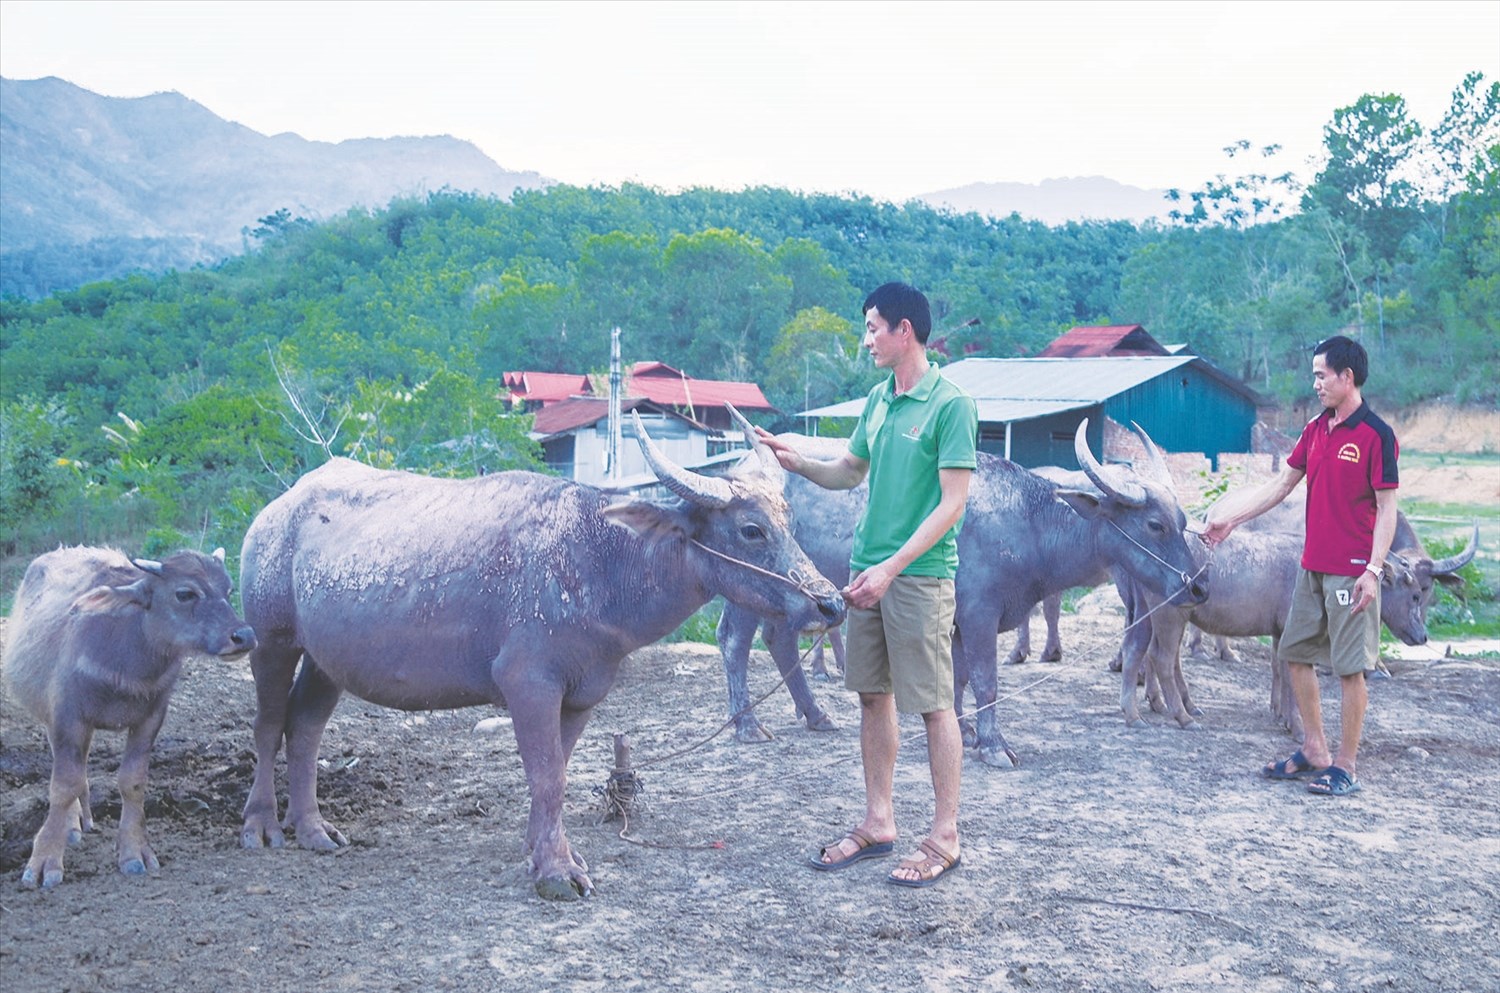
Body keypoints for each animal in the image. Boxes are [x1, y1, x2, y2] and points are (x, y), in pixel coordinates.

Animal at [3, 549, 255, 888]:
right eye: (185, 593)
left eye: (228, 590)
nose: (244, 636)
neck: (125, 671)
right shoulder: (68, 716)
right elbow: (64, 785)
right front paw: (44, 861)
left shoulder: (150, 718)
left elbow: (133, 782)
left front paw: (134, 853)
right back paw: (72, 826)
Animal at [234, 411, 846, 900]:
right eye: (751, 529)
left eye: (790, 523)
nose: (830, 602)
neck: (598, 563)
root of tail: (274, 514)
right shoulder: (527, 683)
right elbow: (547, 776)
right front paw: (556, 872)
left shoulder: (583, 692)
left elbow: (557, 772)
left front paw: (543, 851)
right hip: (272, 639)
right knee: (268, 725)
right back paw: (262, 826)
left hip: (324, 660)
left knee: (305, 727)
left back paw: (314, 829)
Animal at [714, 420, 1206, 768]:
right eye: (1155, 524)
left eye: (1183, 520)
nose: (1198, 585)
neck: (1028, 521)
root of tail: (737, 472)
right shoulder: (980, 614)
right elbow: (986, 678)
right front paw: (992, 745)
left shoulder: (954, 621)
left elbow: (958, 678)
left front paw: (962, 731)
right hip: (748, 589)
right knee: (736, 642)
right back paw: (748, 724)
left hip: (790, 593)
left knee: (777, 640)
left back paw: (815, 714)